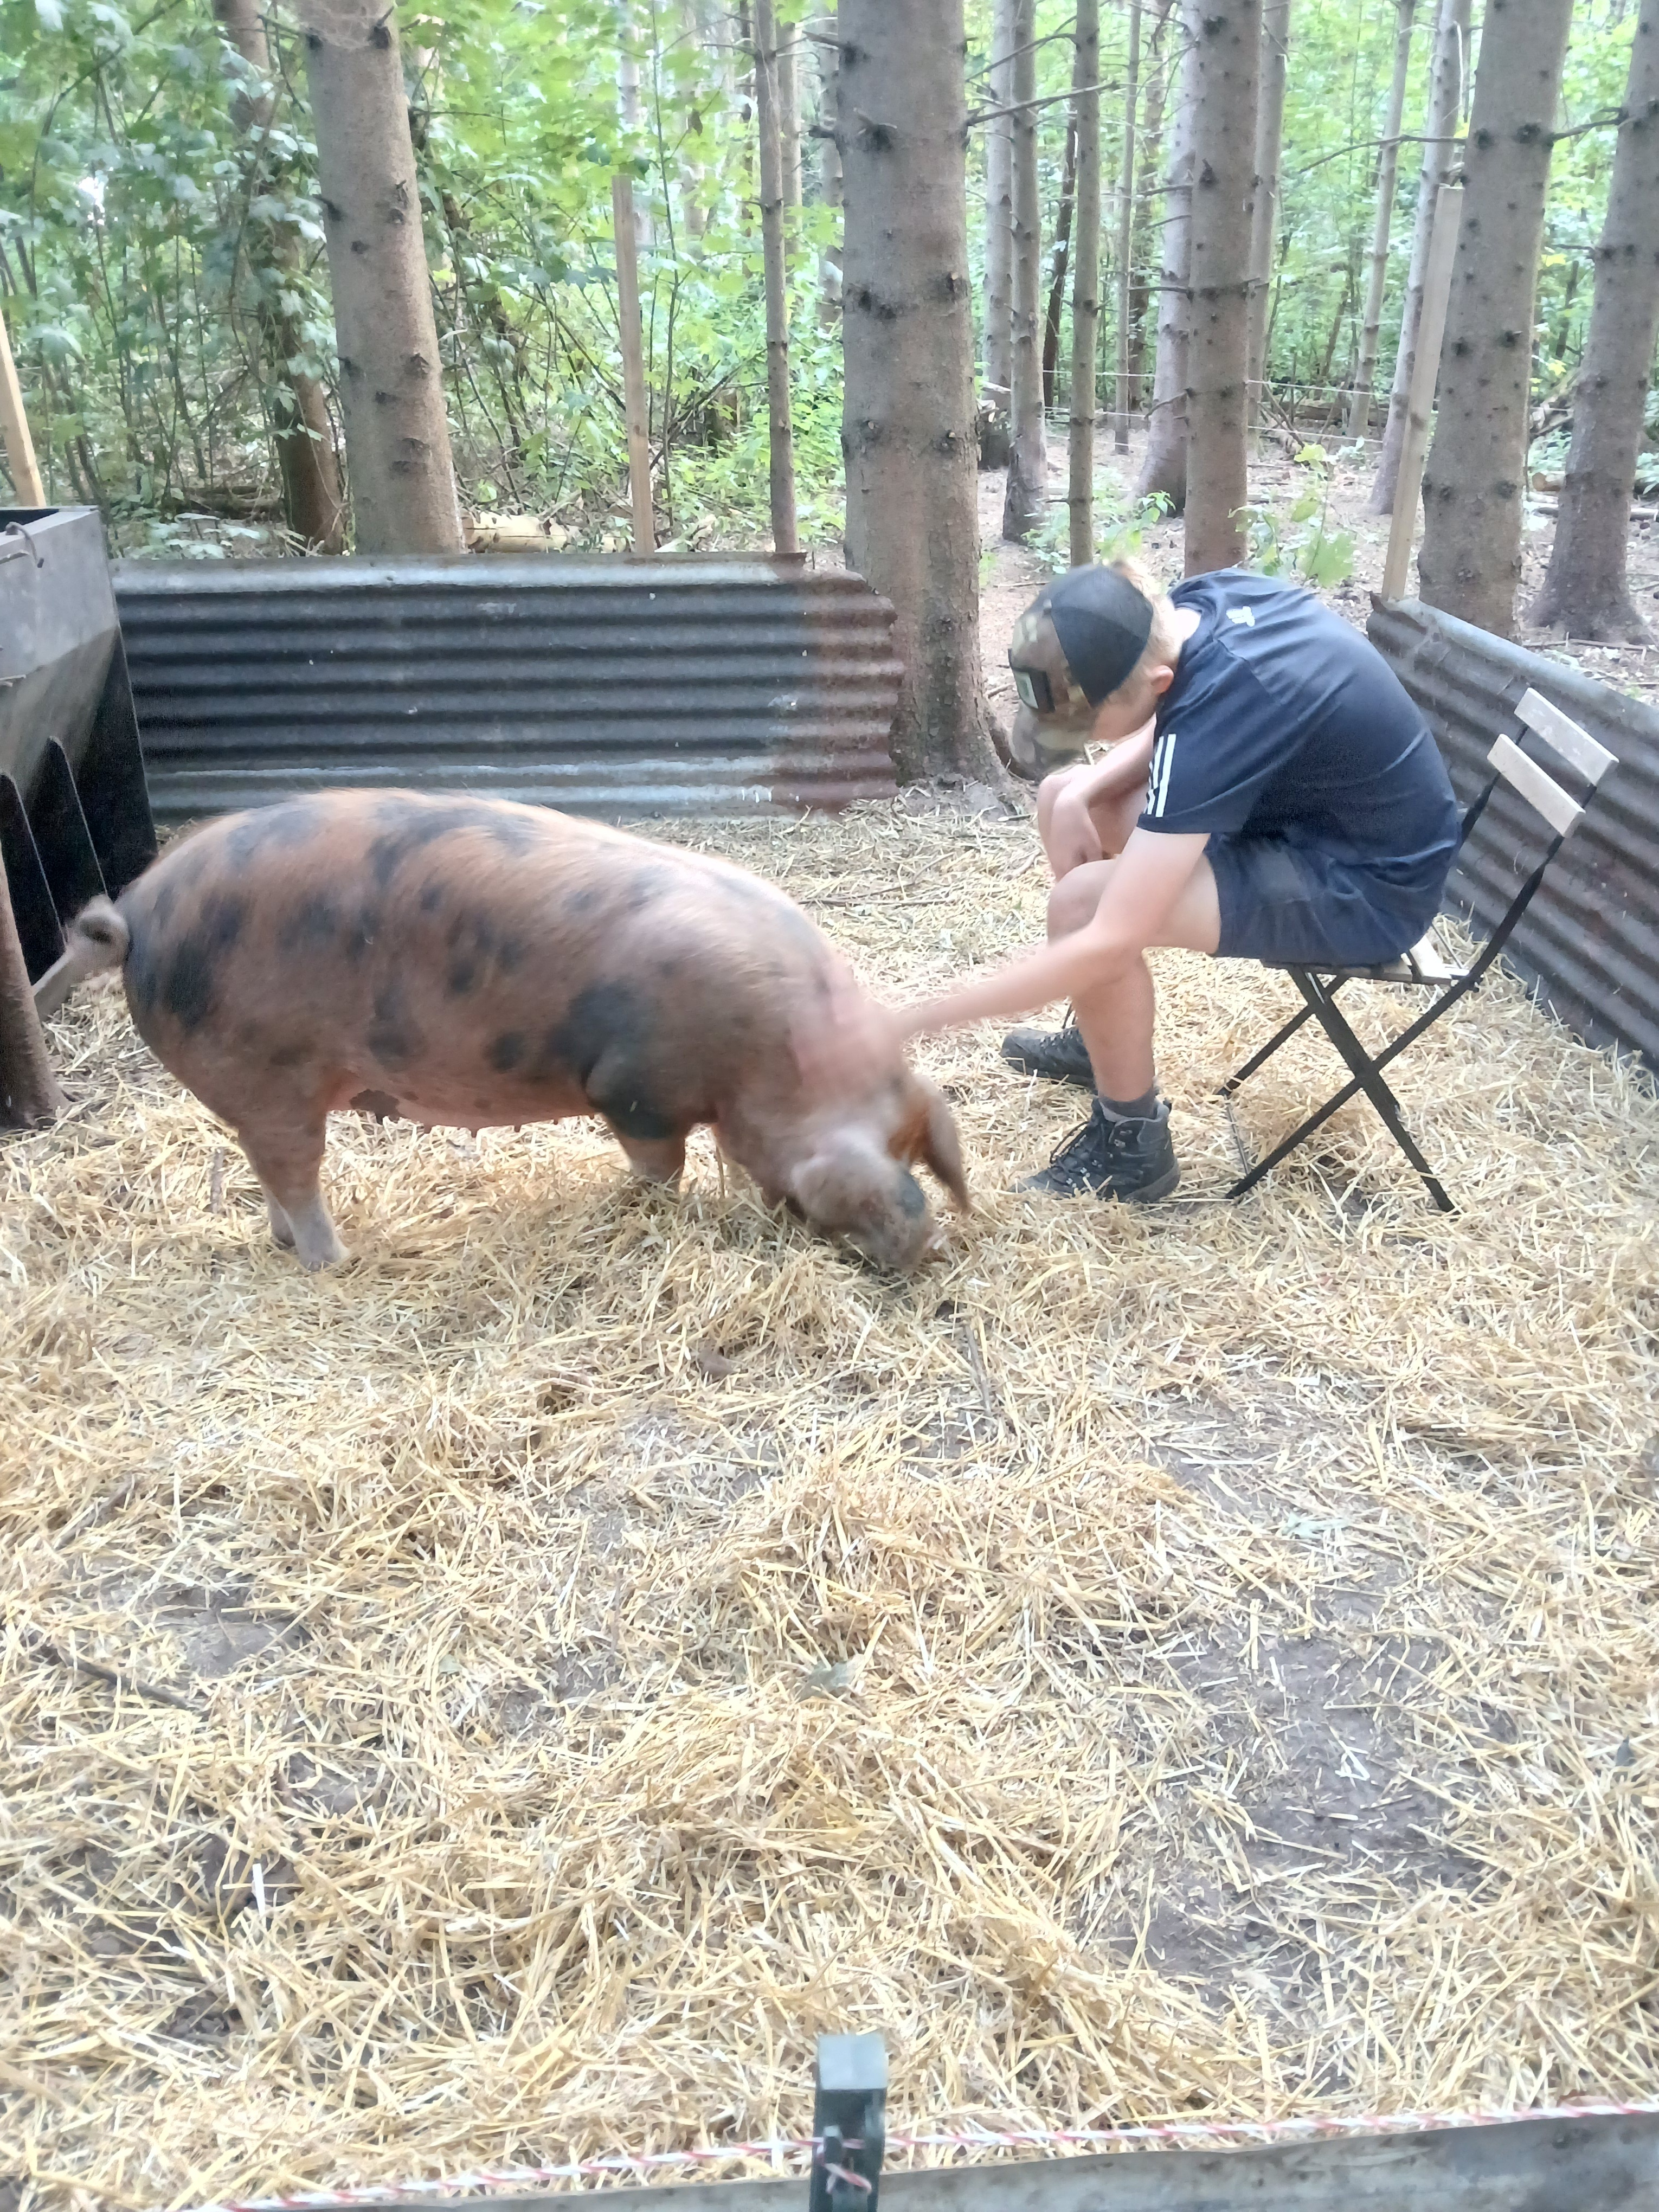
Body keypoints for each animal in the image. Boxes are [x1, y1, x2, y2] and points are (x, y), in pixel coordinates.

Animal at [44, 791, 968, 1273]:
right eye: (846, 1181)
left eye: (912, 1144)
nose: (922, 1242)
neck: (777, 1055)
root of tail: (137, 913)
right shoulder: (634, 1089)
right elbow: (658, 1164)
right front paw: (647, 1206)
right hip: (267, 1071)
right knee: (292, 1172)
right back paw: (339, 1261)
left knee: (265, 1168)